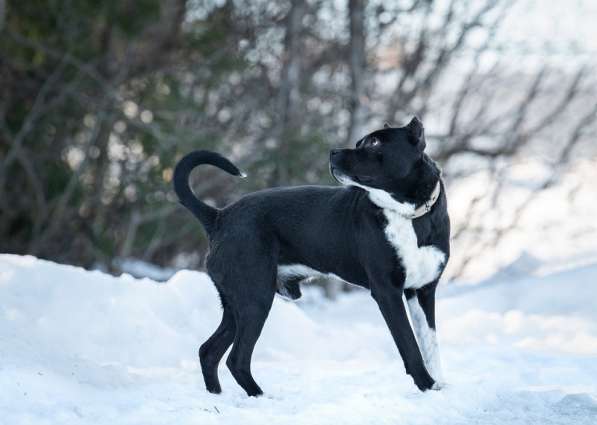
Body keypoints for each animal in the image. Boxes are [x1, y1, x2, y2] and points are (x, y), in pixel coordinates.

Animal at [175, 117, 450, 398]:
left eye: (374, 142)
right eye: (361, 142)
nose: (333, 152)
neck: (410, 214)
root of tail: (219, 217)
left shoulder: (422, 290)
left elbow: (429, 344)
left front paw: (438, 386)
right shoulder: (388, 292)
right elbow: (410, 345)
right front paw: (426, 385)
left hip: (236, 304)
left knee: (209, 351)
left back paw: (218, 394)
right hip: (255, 299)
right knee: (236, 359)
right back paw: (260, 396)